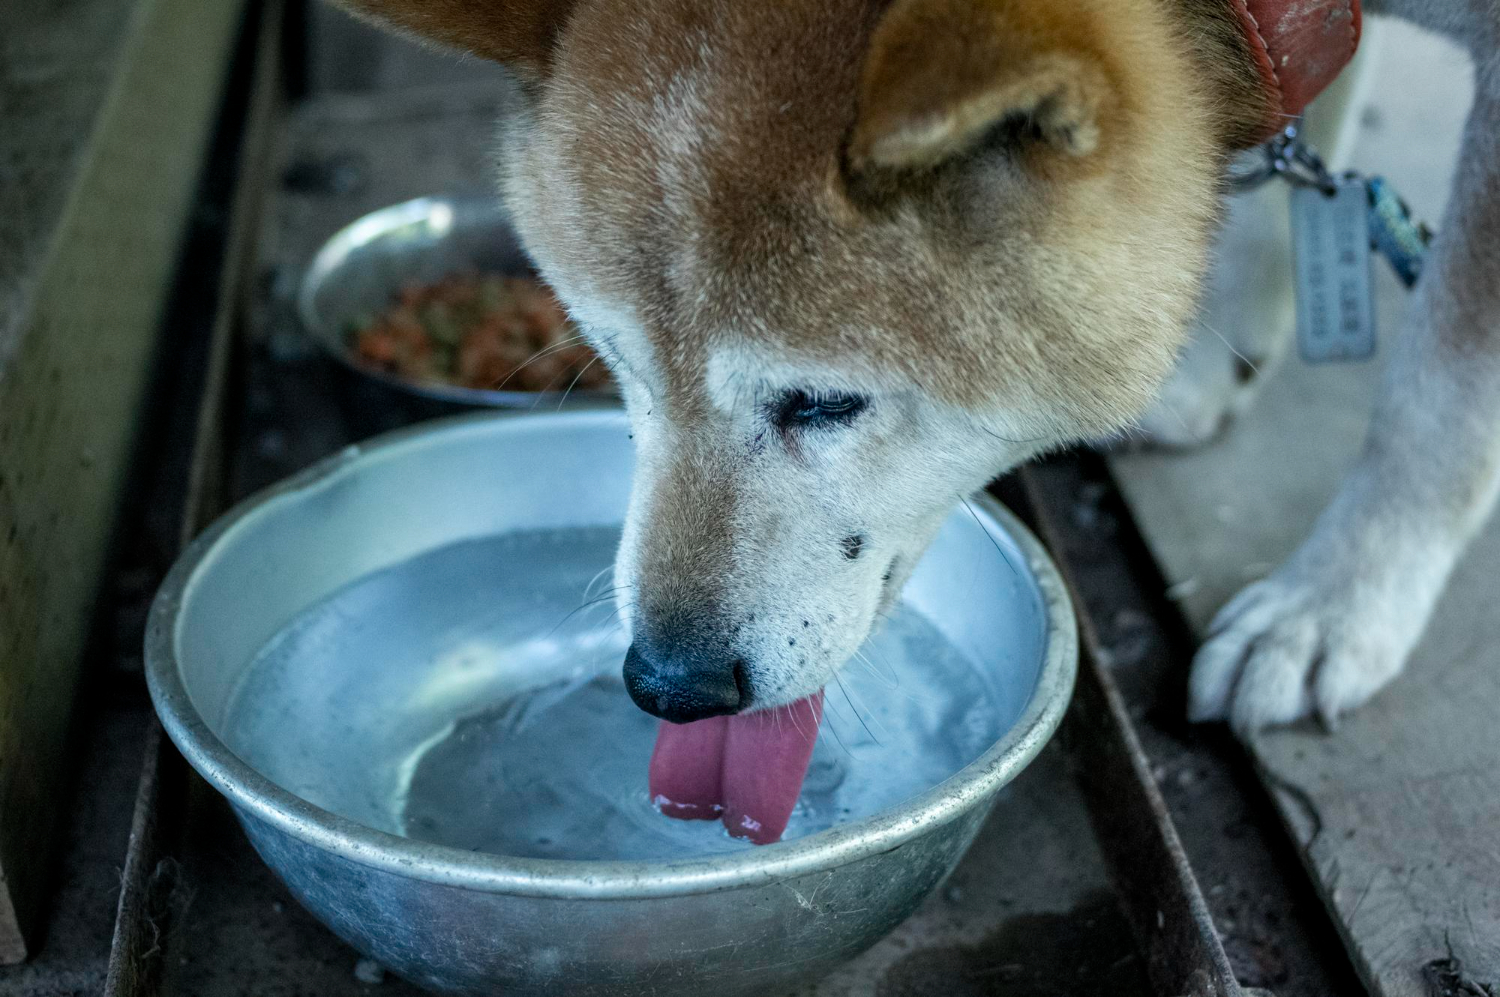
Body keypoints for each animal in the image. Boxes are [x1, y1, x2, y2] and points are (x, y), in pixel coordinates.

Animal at [331, 0, 1500, 734]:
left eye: (822, 400)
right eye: (617, 359)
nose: (667, 684)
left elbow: (1439, 397)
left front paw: (1335, 606)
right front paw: (1221, 352)